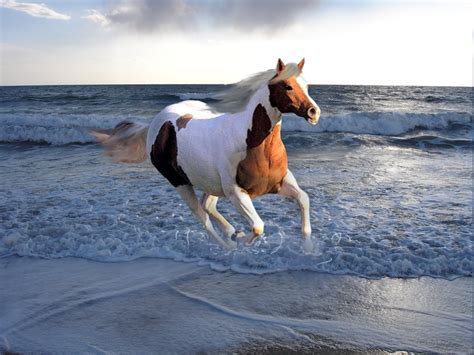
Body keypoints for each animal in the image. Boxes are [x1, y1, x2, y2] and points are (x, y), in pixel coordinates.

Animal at [91, 58, 322, 253]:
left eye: (307, 86)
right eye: (288, 86)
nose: (314, 112)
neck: (251, 141)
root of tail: (156, 124)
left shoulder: (279, 183)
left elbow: (304, 199)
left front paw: (308, 247)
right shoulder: (236, 192)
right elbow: (258, 226)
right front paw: (241, 241)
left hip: (210, 182)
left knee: (207, 206)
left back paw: (231, 232)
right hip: (181, 183)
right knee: (202, 216)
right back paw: (227, 244)